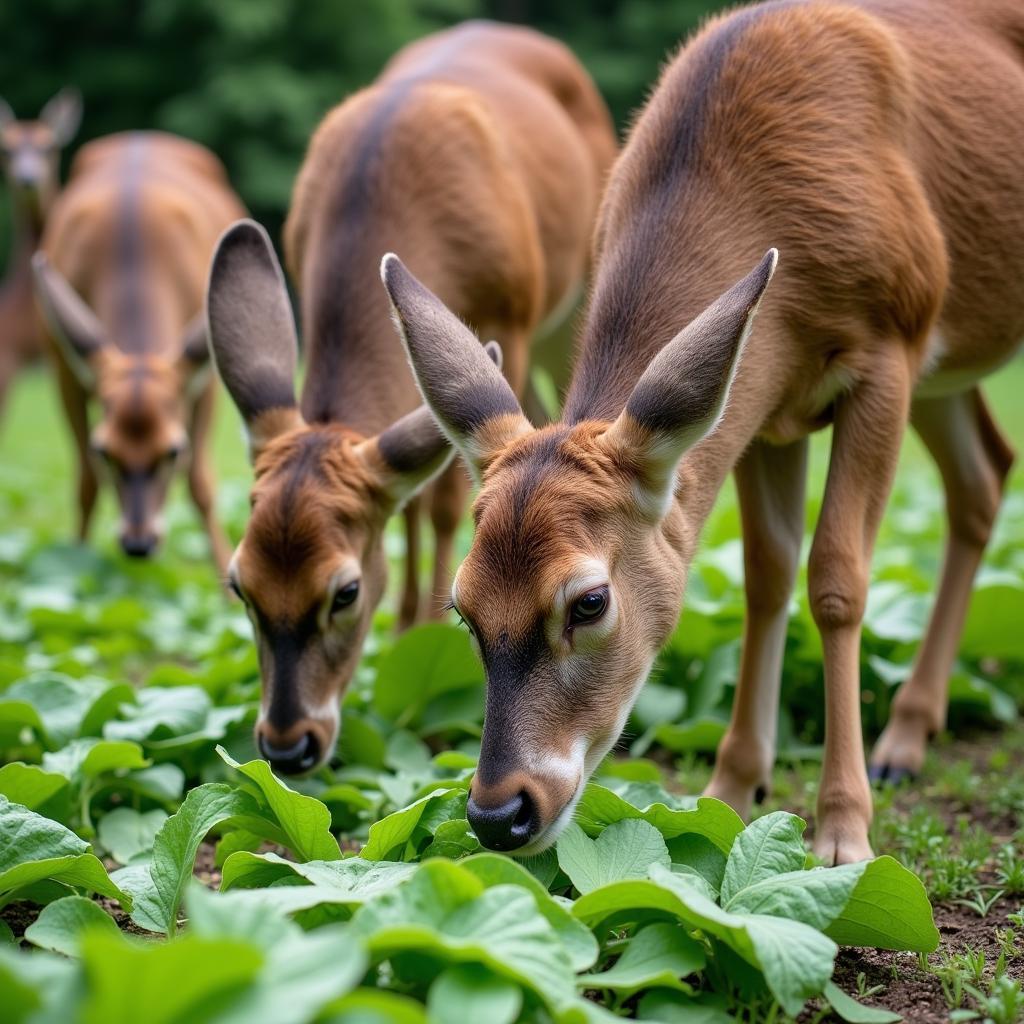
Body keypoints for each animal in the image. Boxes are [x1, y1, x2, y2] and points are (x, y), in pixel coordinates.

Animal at [34, 130, 245, 569]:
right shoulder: (62, 365)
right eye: (104, 450)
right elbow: (85, 482)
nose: (138, 544)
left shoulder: (205, 383)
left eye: (173, 450)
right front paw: (73, 558)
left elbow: (201, 482)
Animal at [203, 19, 610, 774]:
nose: (288, 745)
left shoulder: (509, 313)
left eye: (345, 591)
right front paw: (405, 631)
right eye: (238, 583)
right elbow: (416, 497)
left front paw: (435, 636)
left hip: (570, 295)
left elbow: (453, 497)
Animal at [382, 0, 1024, 864]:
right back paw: (908, 738)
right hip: (943, 364)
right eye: (461, 607)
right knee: (984, 472)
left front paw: (842, 832)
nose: (498, 811)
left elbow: (838, 580)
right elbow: (765, 575)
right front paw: (731, 788)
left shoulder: (888, 346)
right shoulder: (764, 404)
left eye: (589, 602)